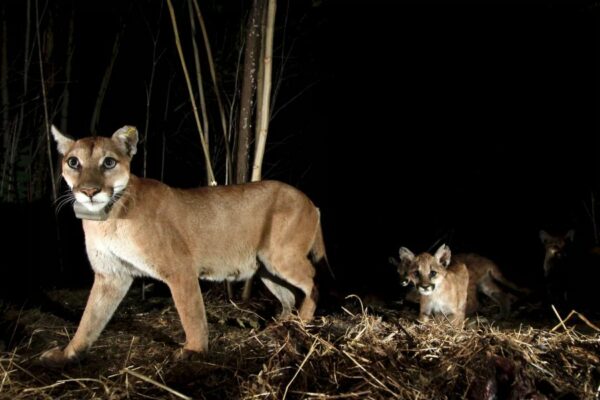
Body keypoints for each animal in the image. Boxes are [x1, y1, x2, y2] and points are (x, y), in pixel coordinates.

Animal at [41, 125, 328, 366]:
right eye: (73, 162)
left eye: (109, 162)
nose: (89, 191)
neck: (107, 218)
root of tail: (311, 201)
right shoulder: (111, 275)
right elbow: (90, 319)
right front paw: (67, 354)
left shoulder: (180, 269)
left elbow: (191, 313)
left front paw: (194, 351)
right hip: (266, 267)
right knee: (288, 296)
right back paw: (278, 327)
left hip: (280, 256)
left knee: (313, 280)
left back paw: (303, 322)